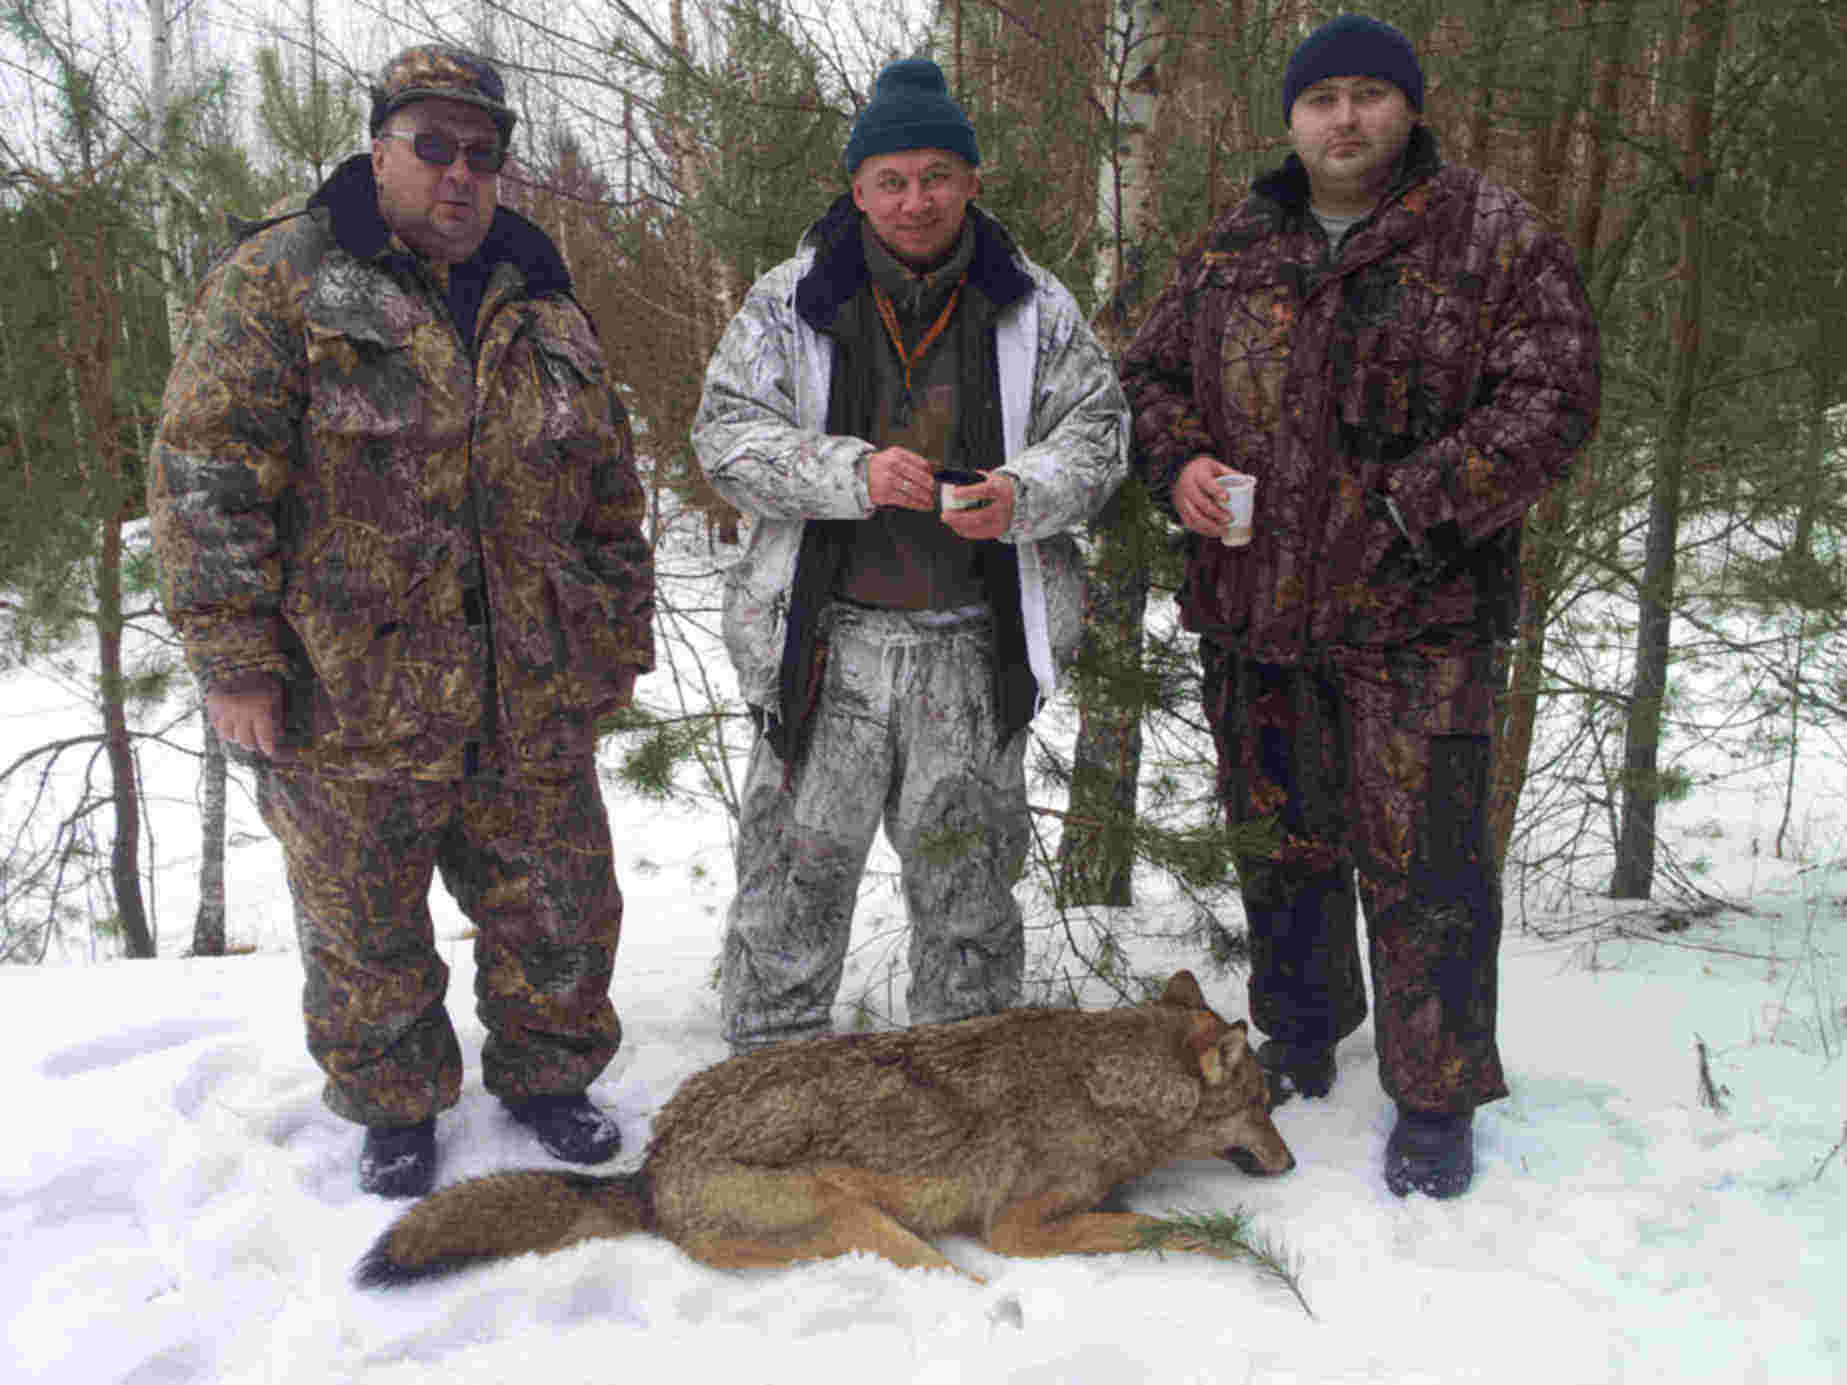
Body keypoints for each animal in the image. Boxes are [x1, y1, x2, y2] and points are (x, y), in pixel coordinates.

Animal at [352, 975, 1292, 1292]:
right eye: (1266, 1100)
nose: (1290, 1163)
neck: (1106, 1087)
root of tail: (651, 1166)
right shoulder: (1015, 1230)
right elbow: (1151, 1227)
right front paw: (1221, 1241)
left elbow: (1134, 1213)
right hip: (868, 1224)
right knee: (958, 1283)